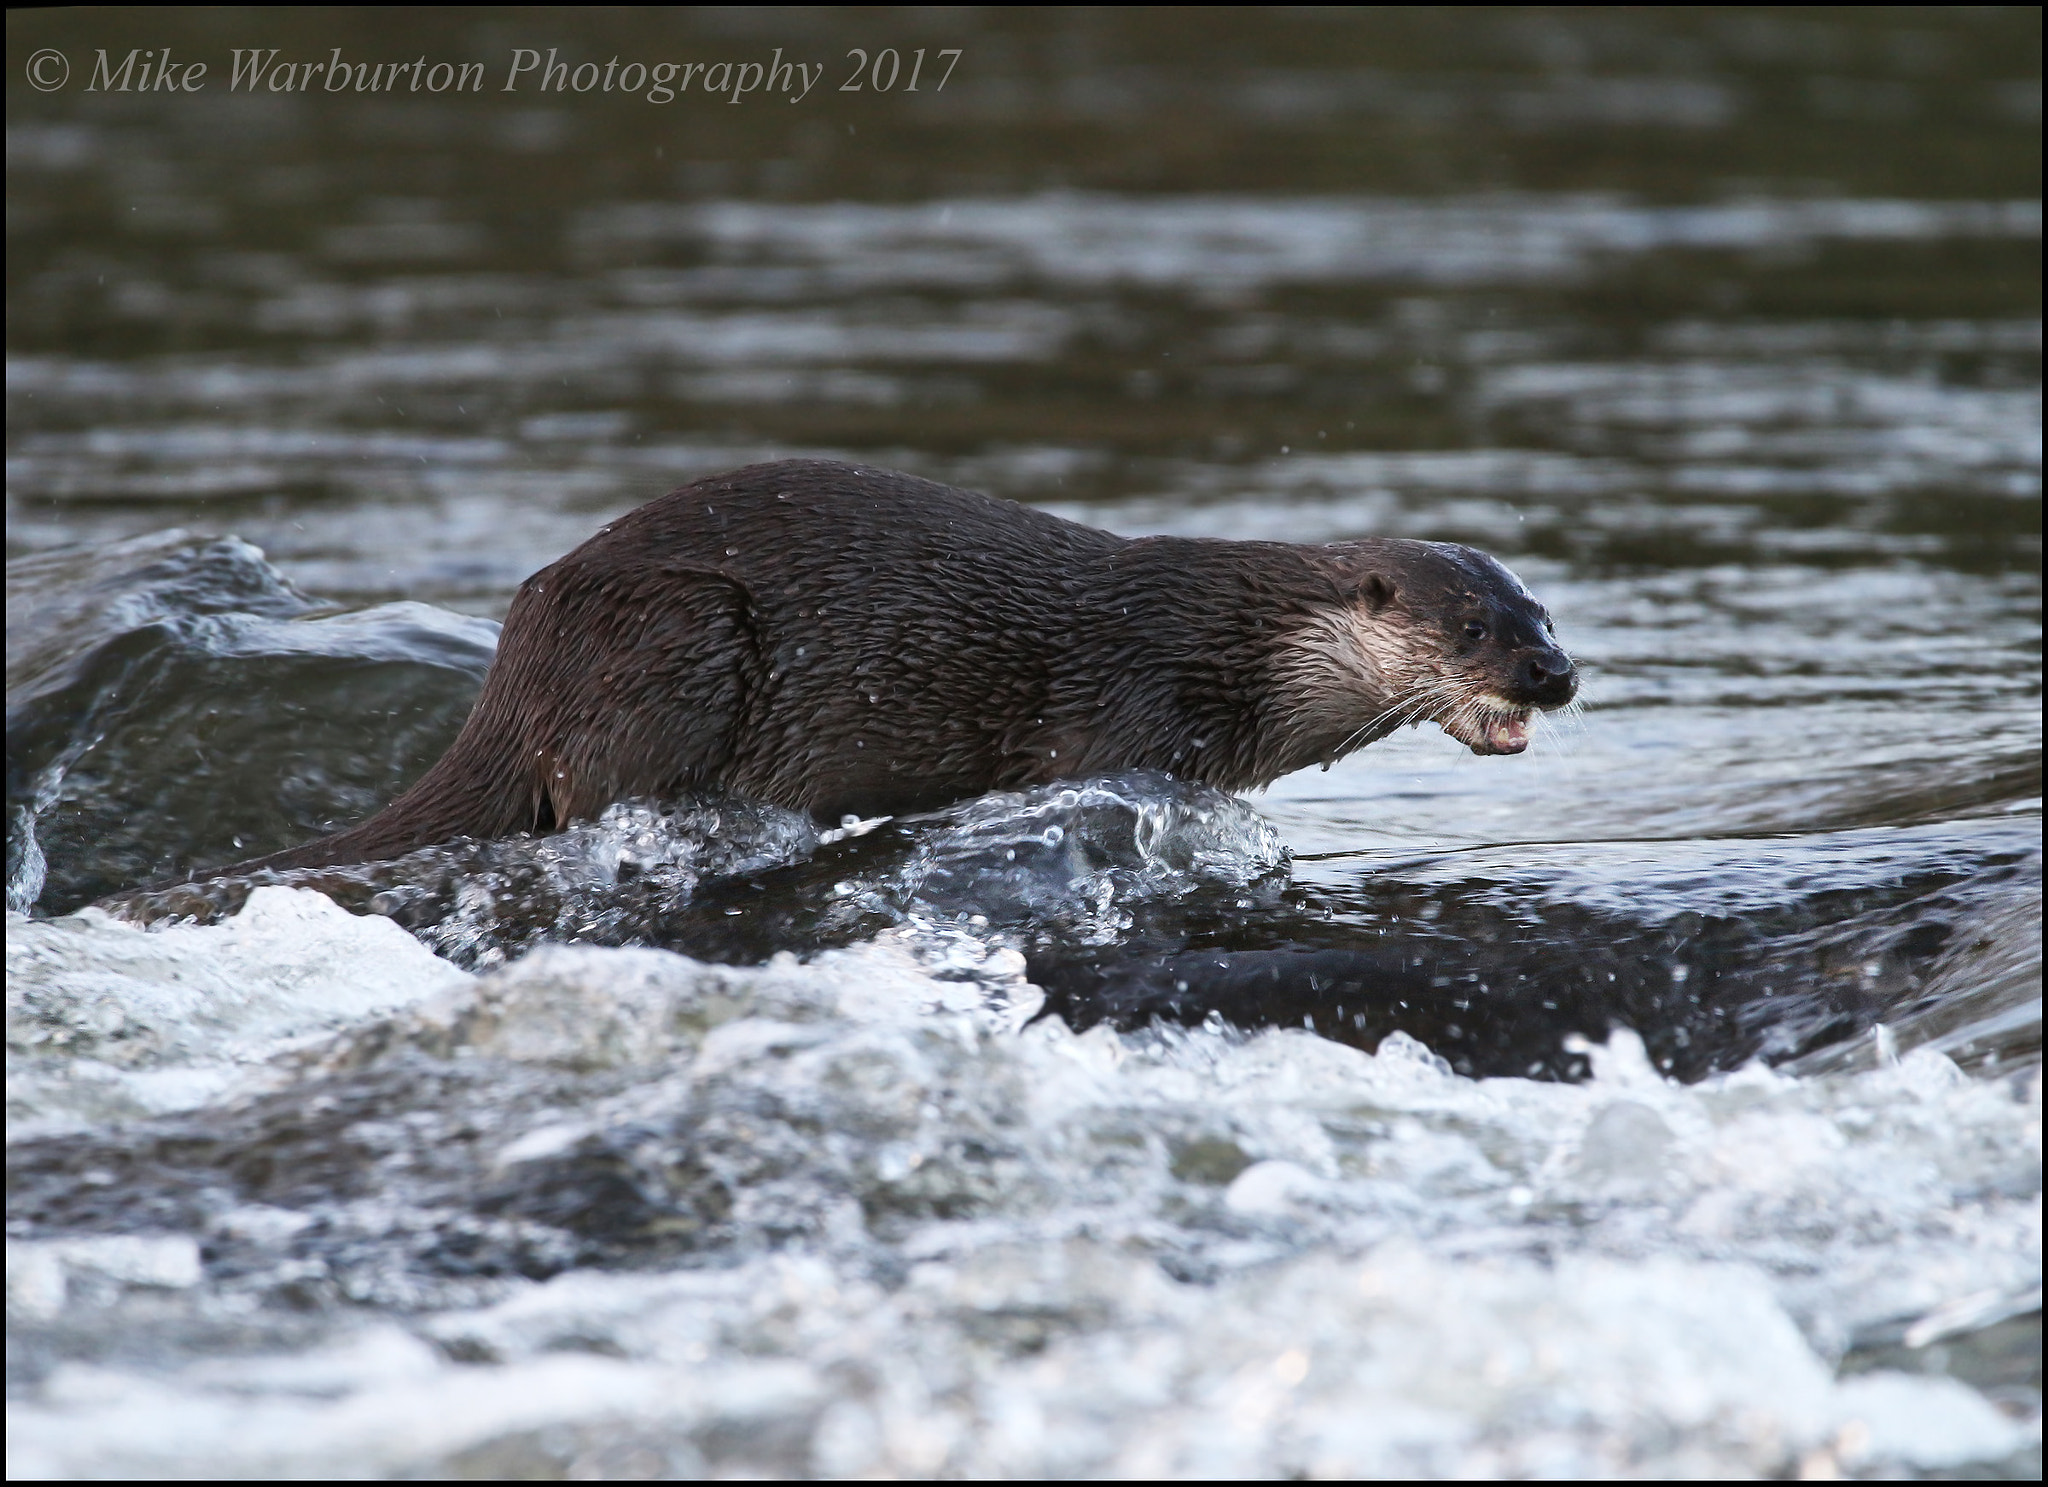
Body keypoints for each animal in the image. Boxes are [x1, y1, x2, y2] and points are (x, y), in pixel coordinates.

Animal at [251, 459, 1575, 871]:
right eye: (1470, 628)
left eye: (1543, 614)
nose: (1552, 677)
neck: (1238, 647)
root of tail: (519, 657)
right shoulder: (1128, 710)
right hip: (679, 632)